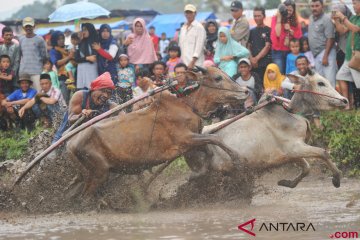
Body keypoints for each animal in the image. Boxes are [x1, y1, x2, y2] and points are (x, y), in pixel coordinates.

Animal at [66, 66, 249, 196]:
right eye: (217, 78)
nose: (246, 91)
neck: (187, 106)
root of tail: (70, 144)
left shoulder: (191, 143)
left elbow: (208, 151)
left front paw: (196, 175)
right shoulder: (186, 139)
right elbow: (215, 140)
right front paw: (237, 158)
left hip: (89, 175)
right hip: (99, 173)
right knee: (86, 197)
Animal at [184, 72, 348, 188]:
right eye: (321, 83)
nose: (345, 100)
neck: (290, 111)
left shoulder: (292, 154)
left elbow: (307, 168)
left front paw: (286, 183)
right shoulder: (295, 148)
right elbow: (323, 153)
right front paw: (337, 178)